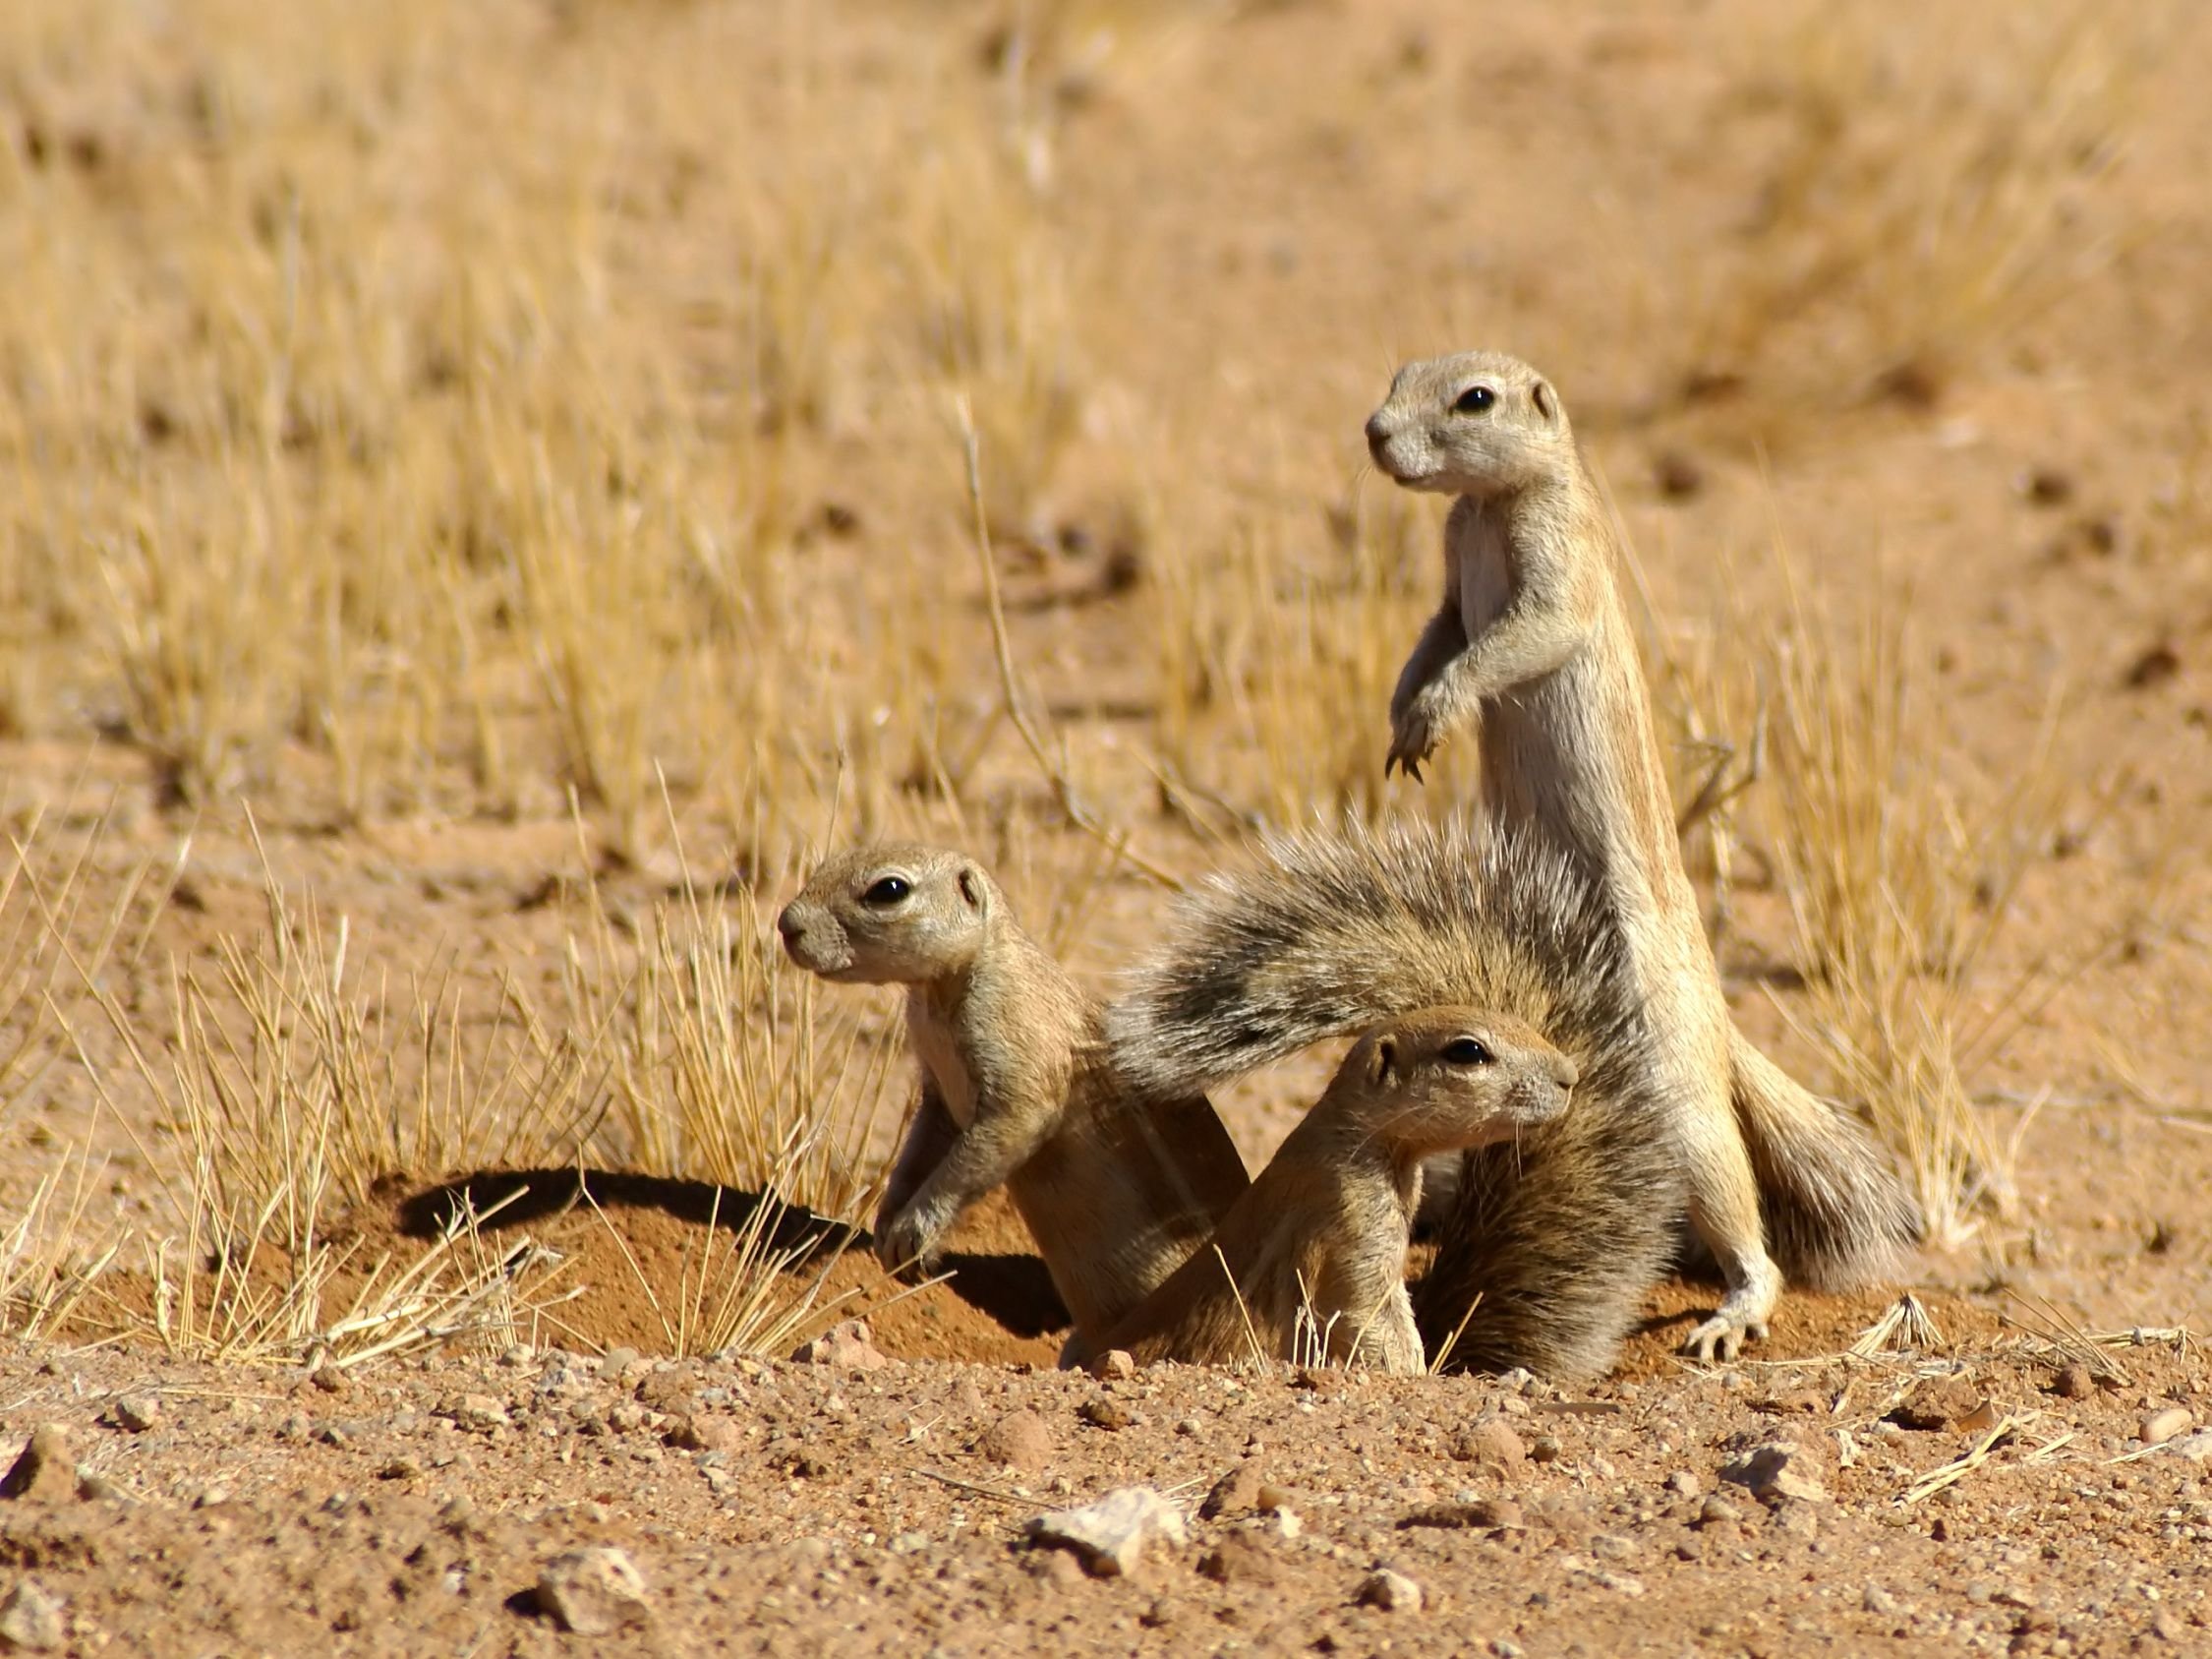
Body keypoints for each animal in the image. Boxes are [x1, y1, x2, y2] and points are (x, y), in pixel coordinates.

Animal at [779, 845, 1256, 1353]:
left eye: (889, 889)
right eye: (827, 863)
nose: (787, 923)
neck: (940, 995)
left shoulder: (1017, 1053)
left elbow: (993, 1141)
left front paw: (915, 1231)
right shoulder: (938, 1094)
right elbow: (918, 1151)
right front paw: (888, 1221)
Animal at [1354, 351, 1911, 1362]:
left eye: (1474, 399)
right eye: (1400, 373)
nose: (1374, 433)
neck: (1488, 506)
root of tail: (1722, 1026)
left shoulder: (1556, 569)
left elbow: (1513, 639)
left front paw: (1440, 704)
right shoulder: (1452, 580)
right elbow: (1438, 631)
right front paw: (1405, 716)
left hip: (1680, 1102)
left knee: (1741, 1210)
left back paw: (1737, 1310)